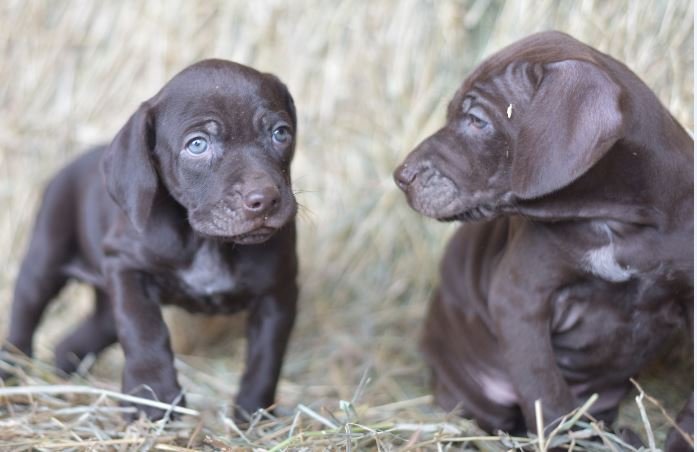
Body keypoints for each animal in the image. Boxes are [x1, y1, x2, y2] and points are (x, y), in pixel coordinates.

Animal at [1, 60, 300, 420]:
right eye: (197, 145)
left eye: (280, 133)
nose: (265, 199)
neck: (206, 241)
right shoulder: (127, 269)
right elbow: (144, 331)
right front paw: (153, 398)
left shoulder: (278, 293)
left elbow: (266, 357)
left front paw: (253, 414)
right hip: (44, 261)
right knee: (24, 317)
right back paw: (12, 375)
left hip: (105, 307)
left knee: (76, 340)